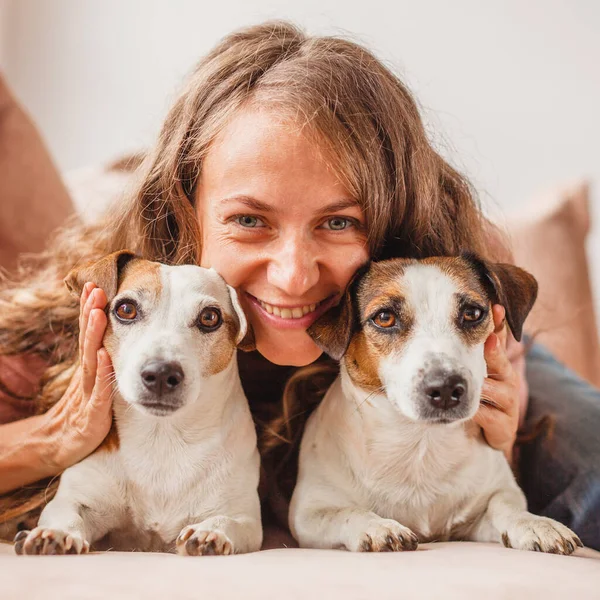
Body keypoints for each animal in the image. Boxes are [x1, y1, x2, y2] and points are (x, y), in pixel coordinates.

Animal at [13, 251, 262, 556]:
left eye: (209, 317)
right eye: (126, 309)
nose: (161, 373)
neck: (162, 437)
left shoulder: (245, 517)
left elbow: (227, 520)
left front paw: (210, 533)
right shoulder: (78, 497)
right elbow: (66, 513)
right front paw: (56, 534)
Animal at [290, 252, 580, 552]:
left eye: (472, 313)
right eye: (384, 317)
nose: (446, 387)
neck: (421, 443)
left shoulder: (482, 510)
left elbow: (506, 506)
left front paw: (537, 523)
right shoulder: (308, 515)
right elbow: (346, 512)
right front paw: (379, 527)